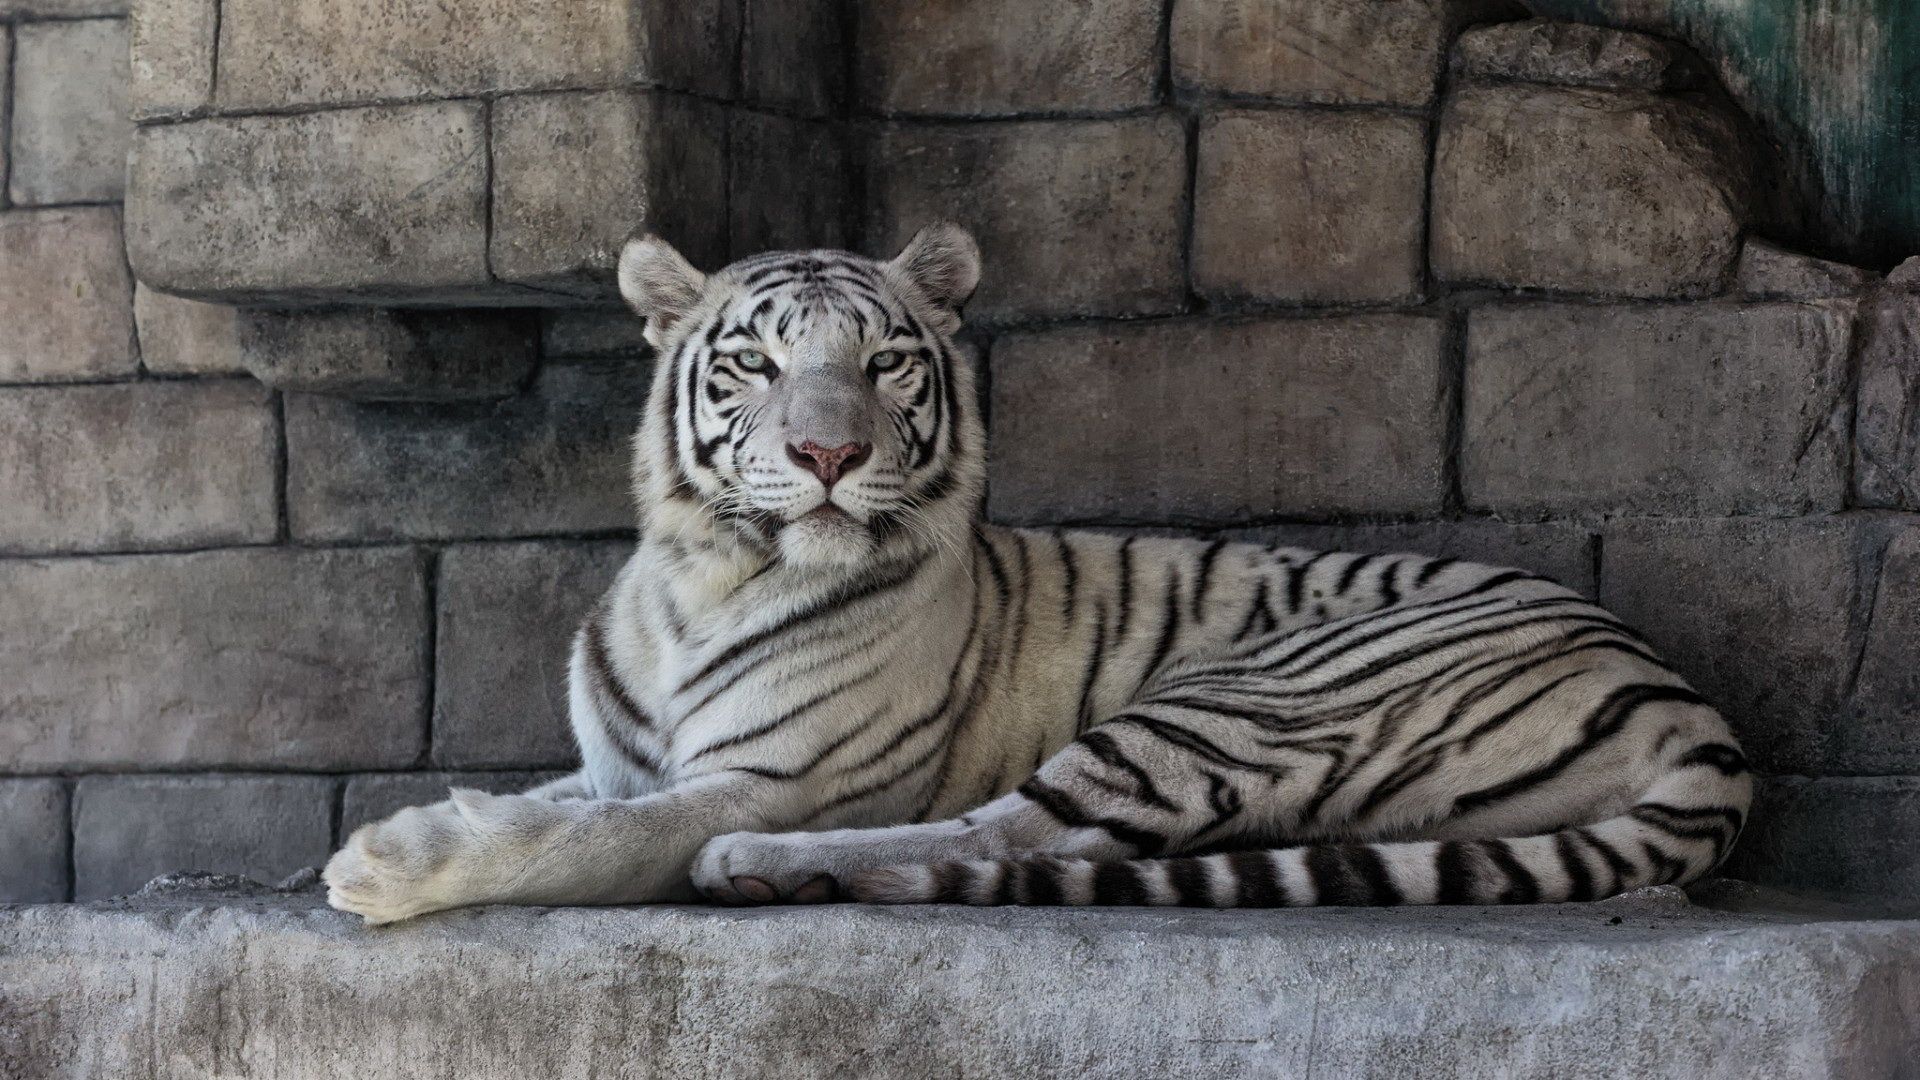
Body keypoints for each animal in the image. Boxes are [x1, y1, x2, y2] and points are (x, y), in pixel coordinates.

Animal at [323, 224, 1752, 924]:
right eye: (756, 364)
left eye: (886, 362)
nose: (829, 452)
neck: (706, 577)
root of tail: (1688, 699)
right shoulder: (620, 758)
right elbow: (562, 801)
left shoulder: (777, 772)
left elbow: (594, 837)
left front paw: (386, 862)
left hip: (1245, 694)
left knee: (1005, 832)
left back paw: (762, 866)